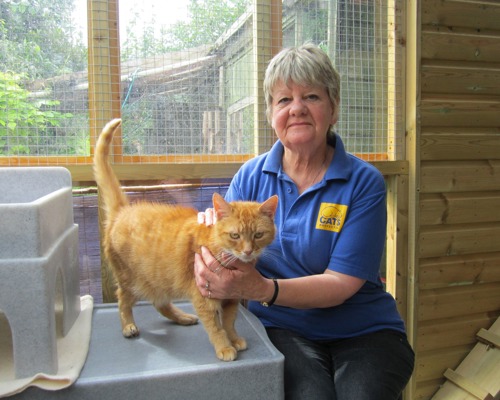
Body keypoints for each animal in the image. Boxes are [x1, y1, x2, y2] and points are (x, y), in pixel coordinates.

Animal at [93, 119, 278, 362]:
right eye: (235, 235)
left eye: (258, 235)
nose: (248, 251)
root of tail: (123, 211)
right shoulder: (204, 297)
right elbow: (216, 327)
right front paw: (224, 347)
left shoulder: (231, 299)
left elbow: (229, 322)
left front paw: (234, 339)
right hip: (133, 281)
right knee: (123, 300)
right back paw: (128, 326)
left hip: (160, 281)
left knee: (160, 304)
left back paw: (182, 317)